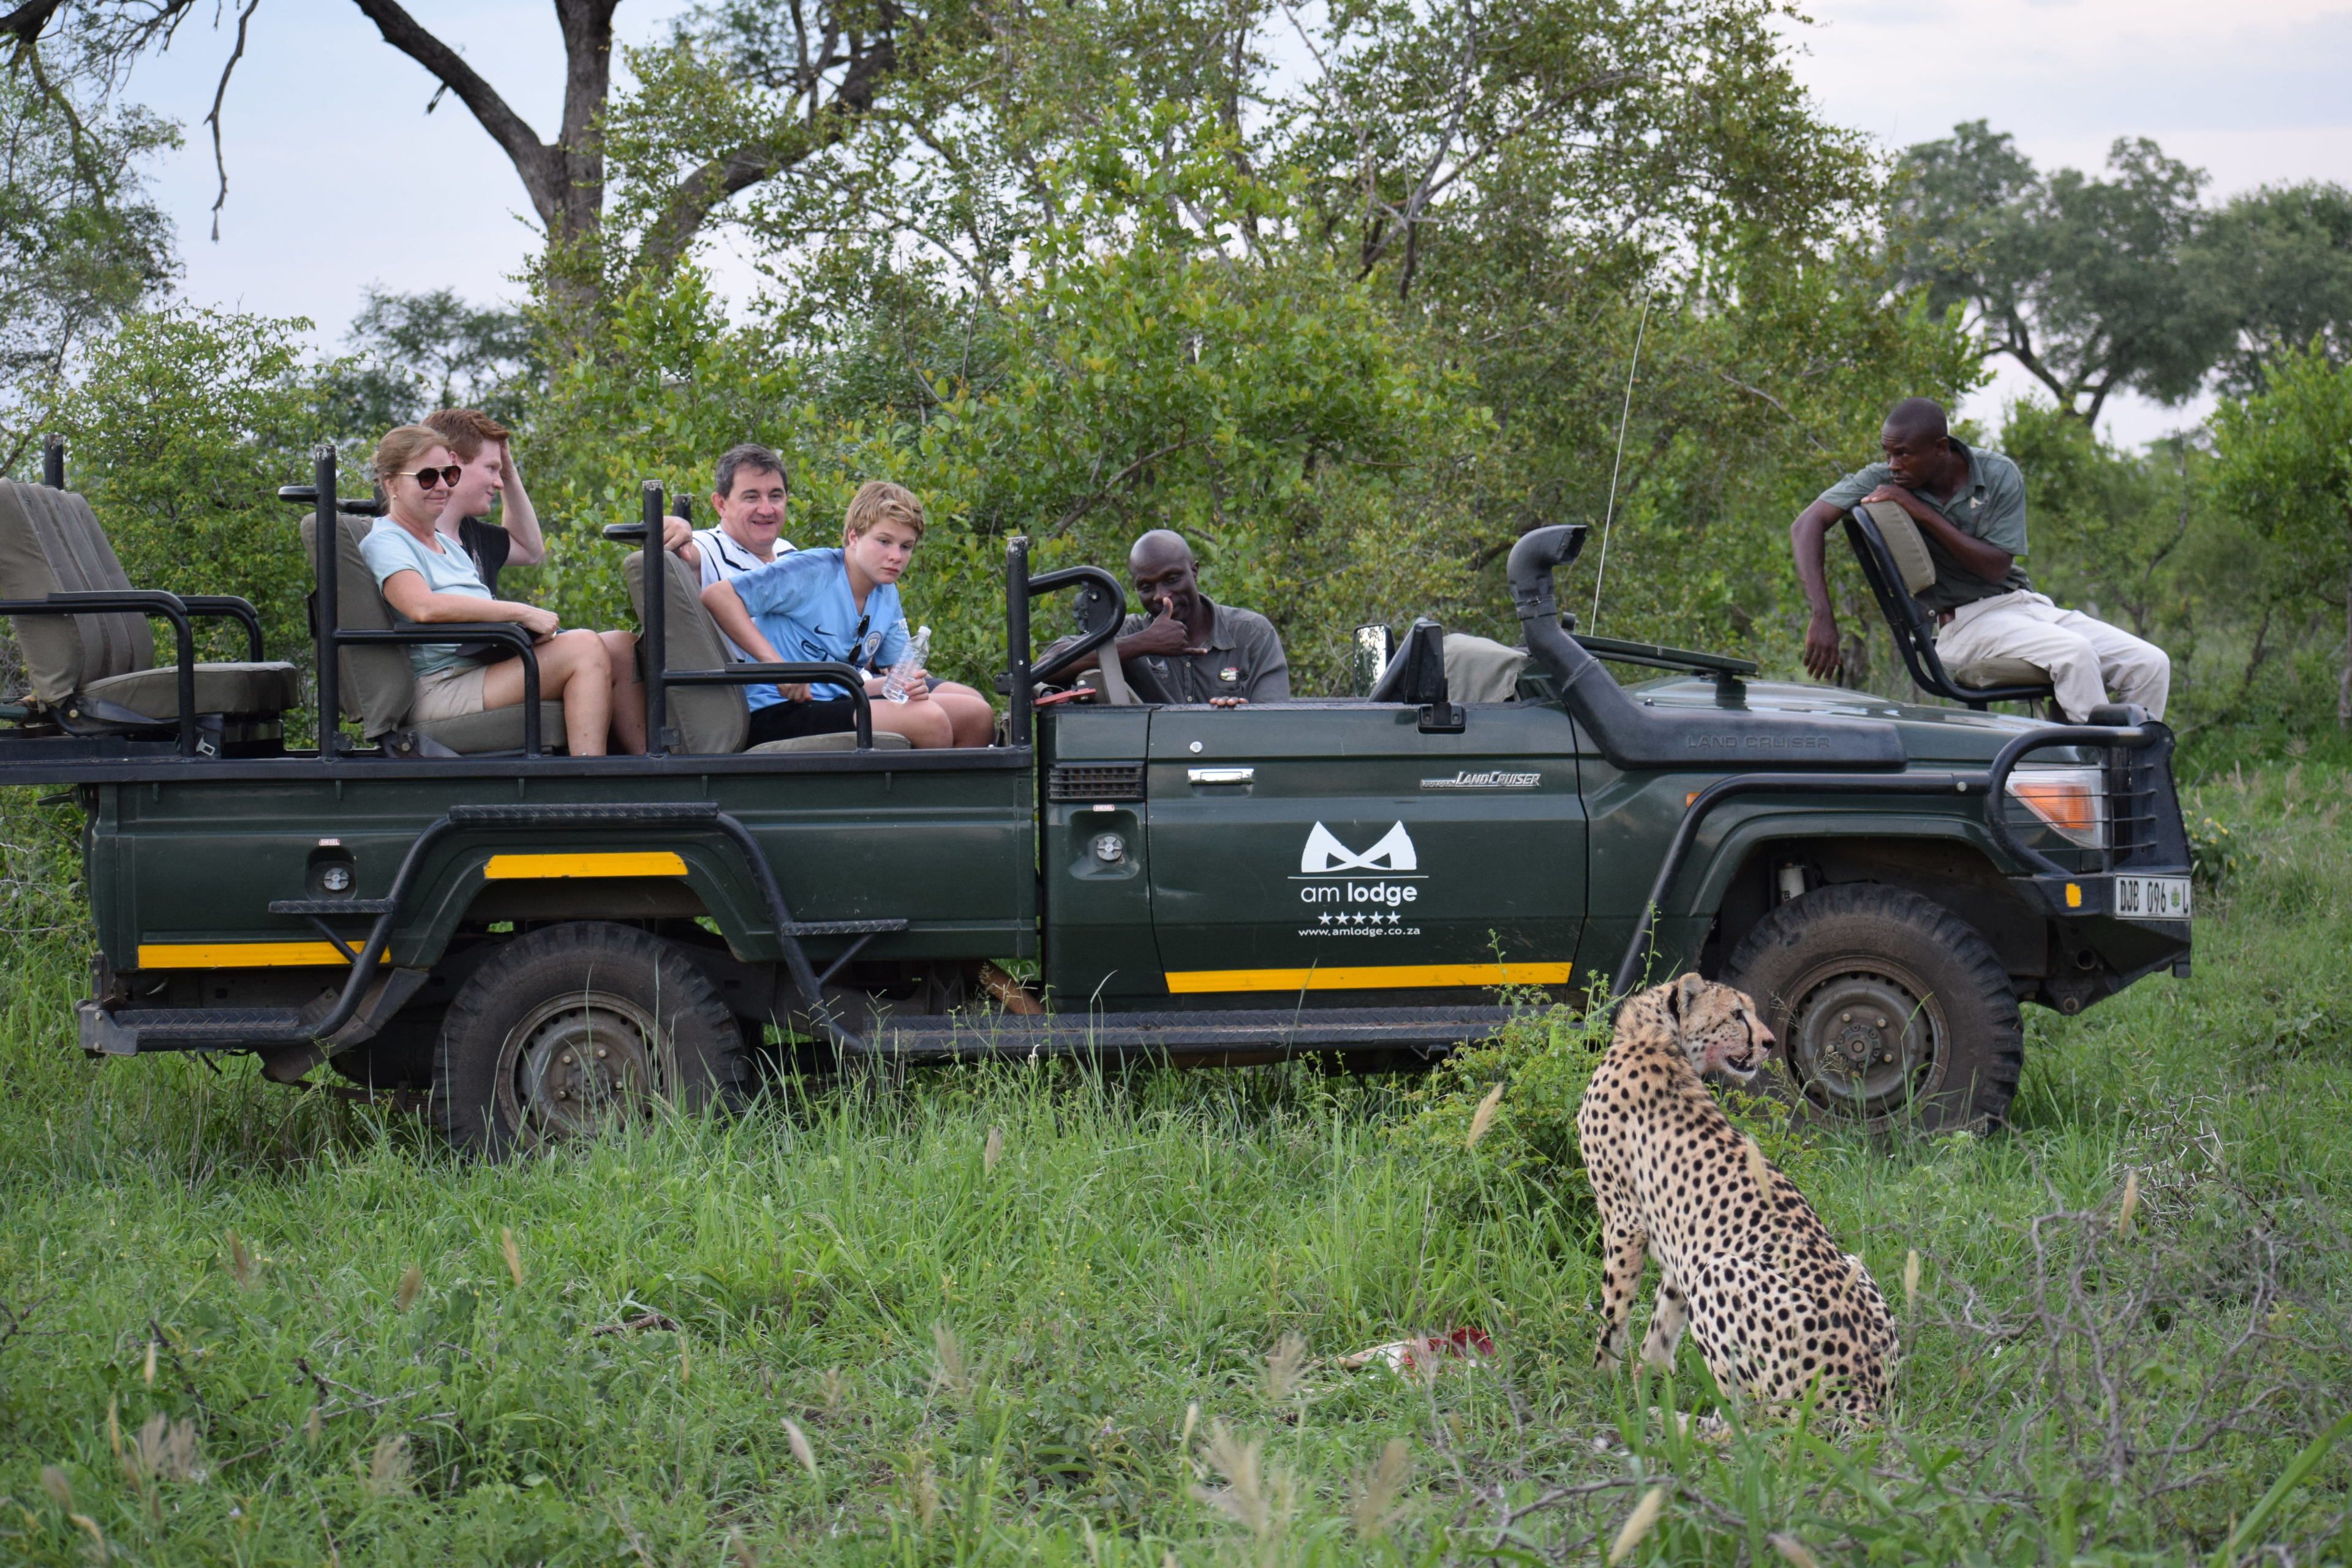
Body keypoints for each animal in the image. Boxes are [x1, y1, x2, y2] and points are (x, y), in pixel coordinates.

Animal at [1575, 972, 1898, 1420]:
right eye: (1736, 1014)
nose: (1769, 1042)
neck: (1658, 1037)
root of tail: (1866, 1391)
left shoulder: (1624, 1222)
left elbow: (1615, 1309)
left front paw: (1604, 1382)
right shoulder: (1683, 1251)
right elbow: (1662, 1323)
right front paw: (1644, 1384)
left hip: (1719, 1273)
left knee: (1748, 1422)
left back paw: (1672, 1422)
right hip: (1852, 1264)